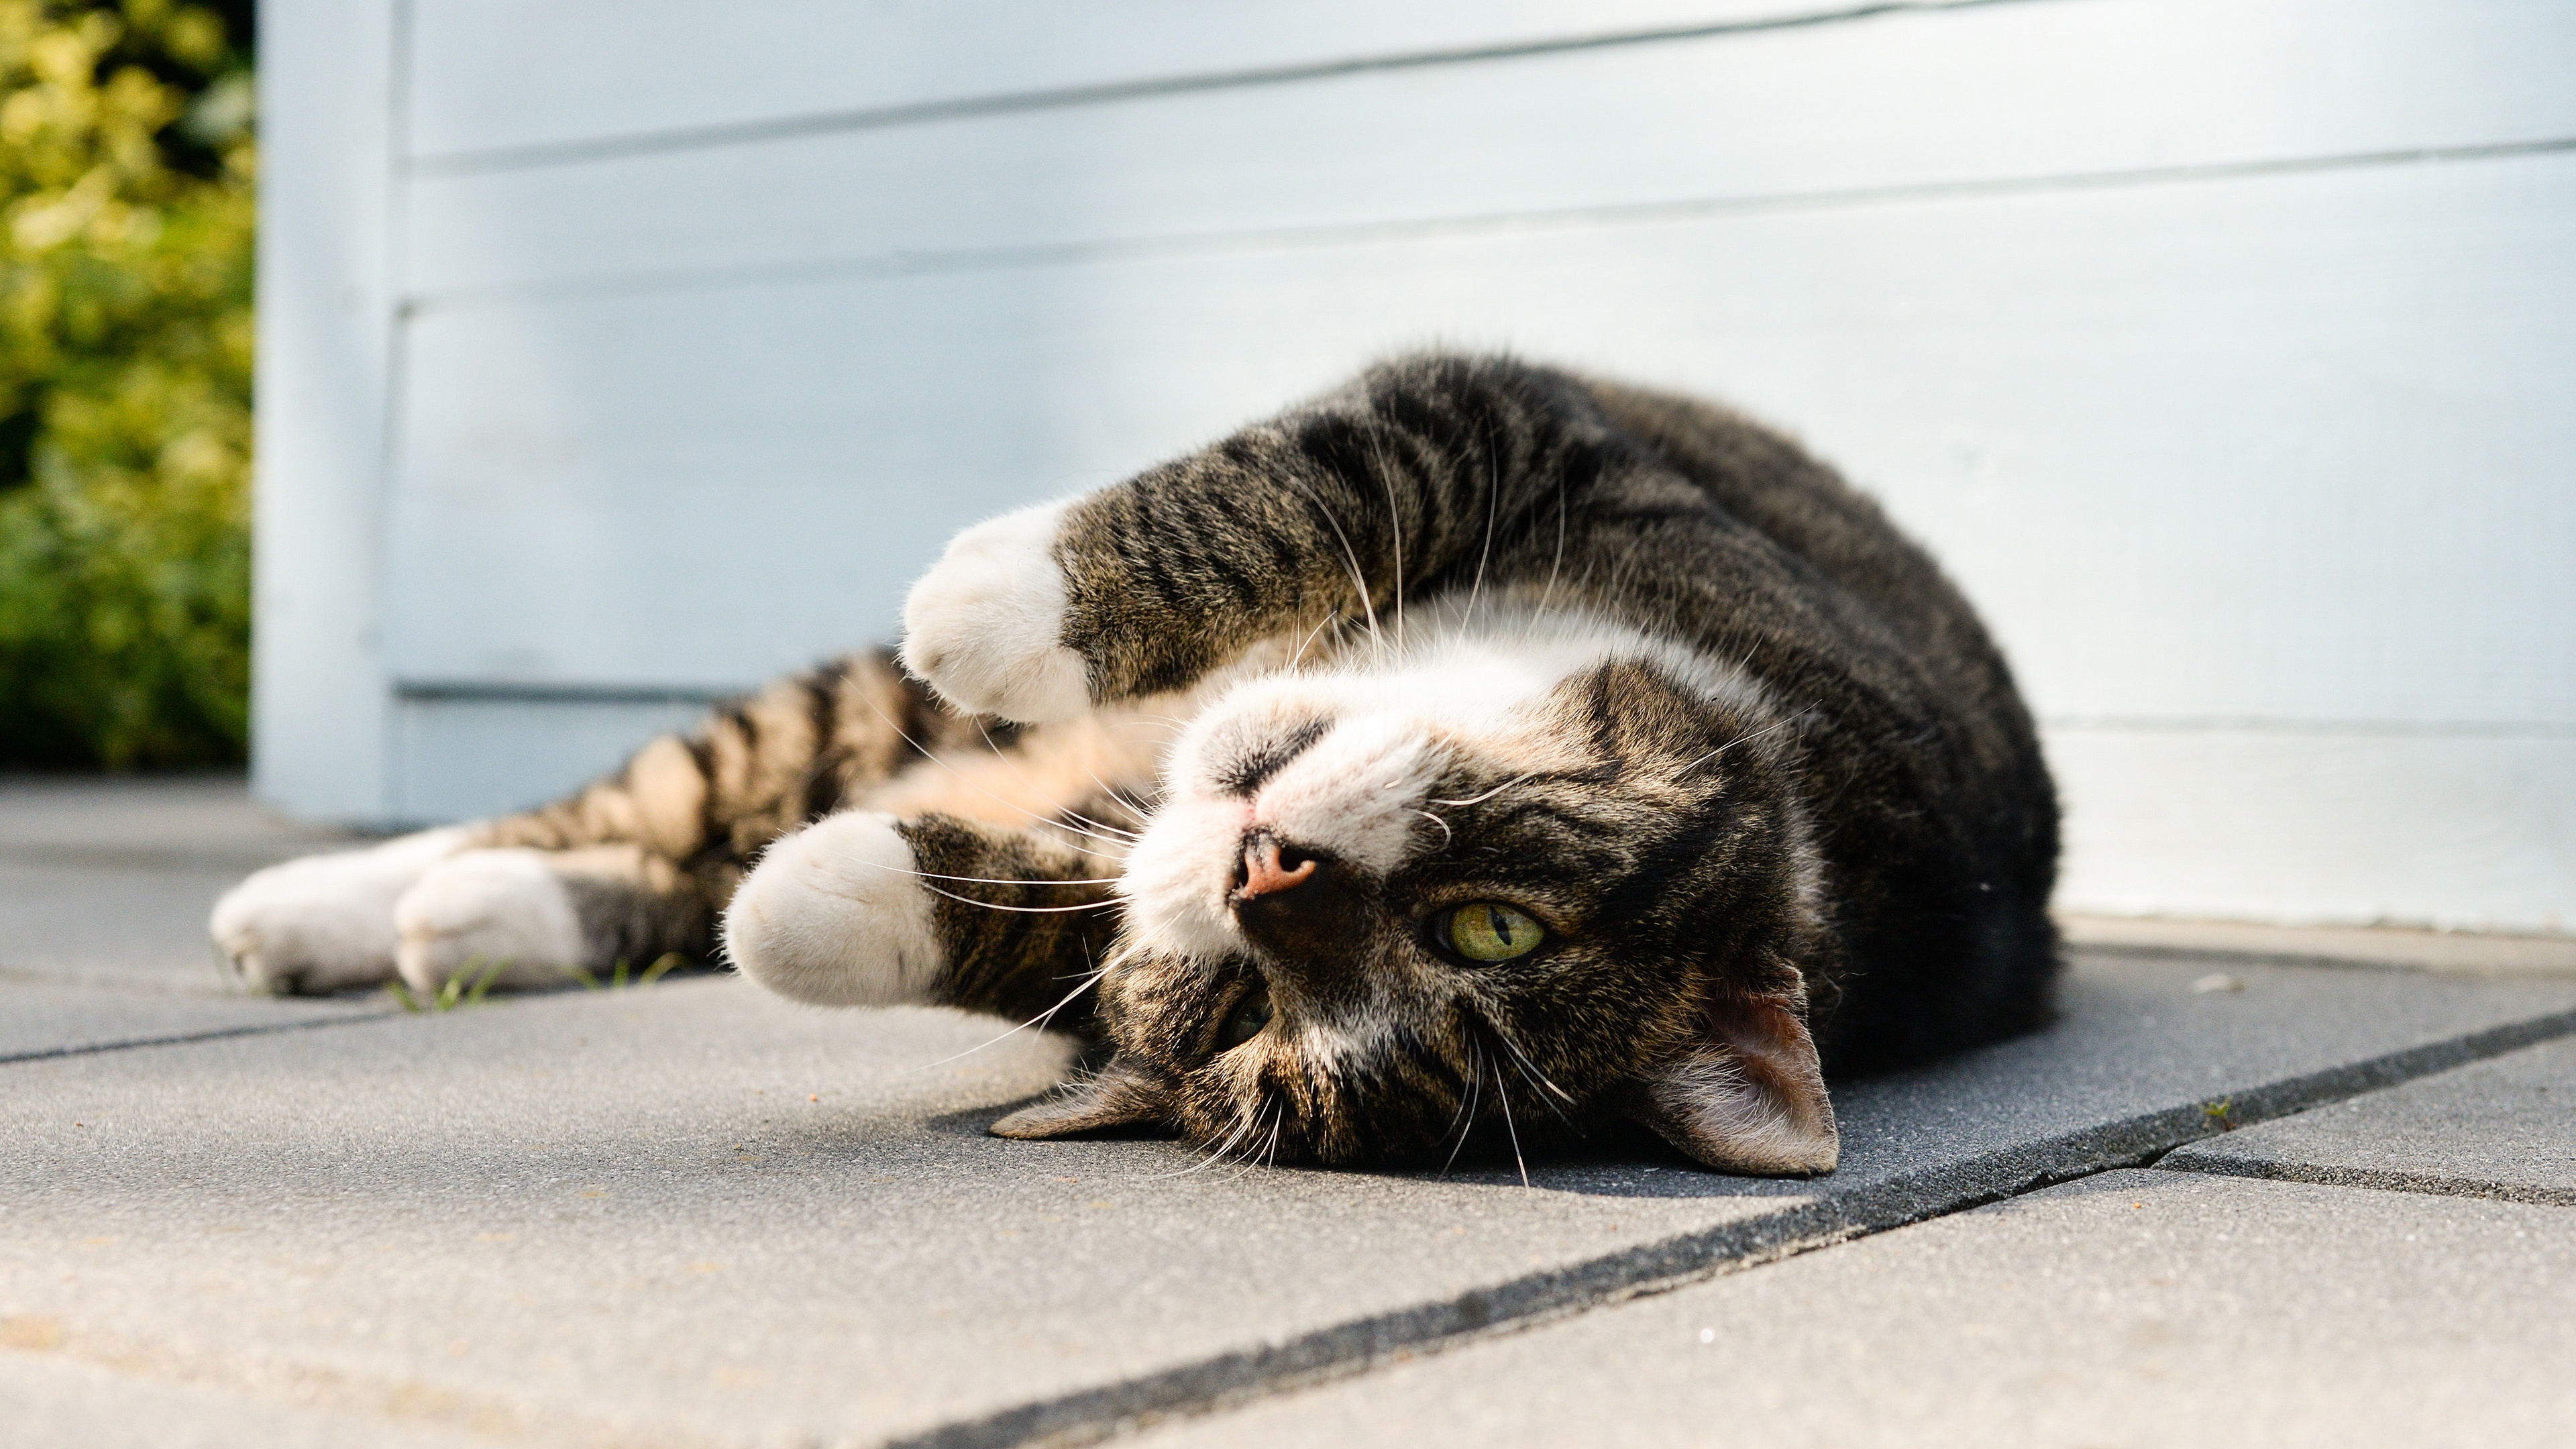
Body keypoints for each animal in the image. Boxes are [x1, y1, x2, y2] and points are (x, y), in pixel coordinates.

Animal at [221, 350, 2071, 1175]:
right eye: (1502, 925)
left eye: (1254, 1014)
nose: (1265, 871)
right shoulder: (1539, 427)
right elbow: (1320, 464)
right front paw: (1000, 600)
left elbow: (1060, 931)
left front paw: (824, 901)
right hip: (853, 710)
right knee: (652, 791)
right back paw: (322, 902)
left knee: (679, 846)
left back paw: (477, 920)